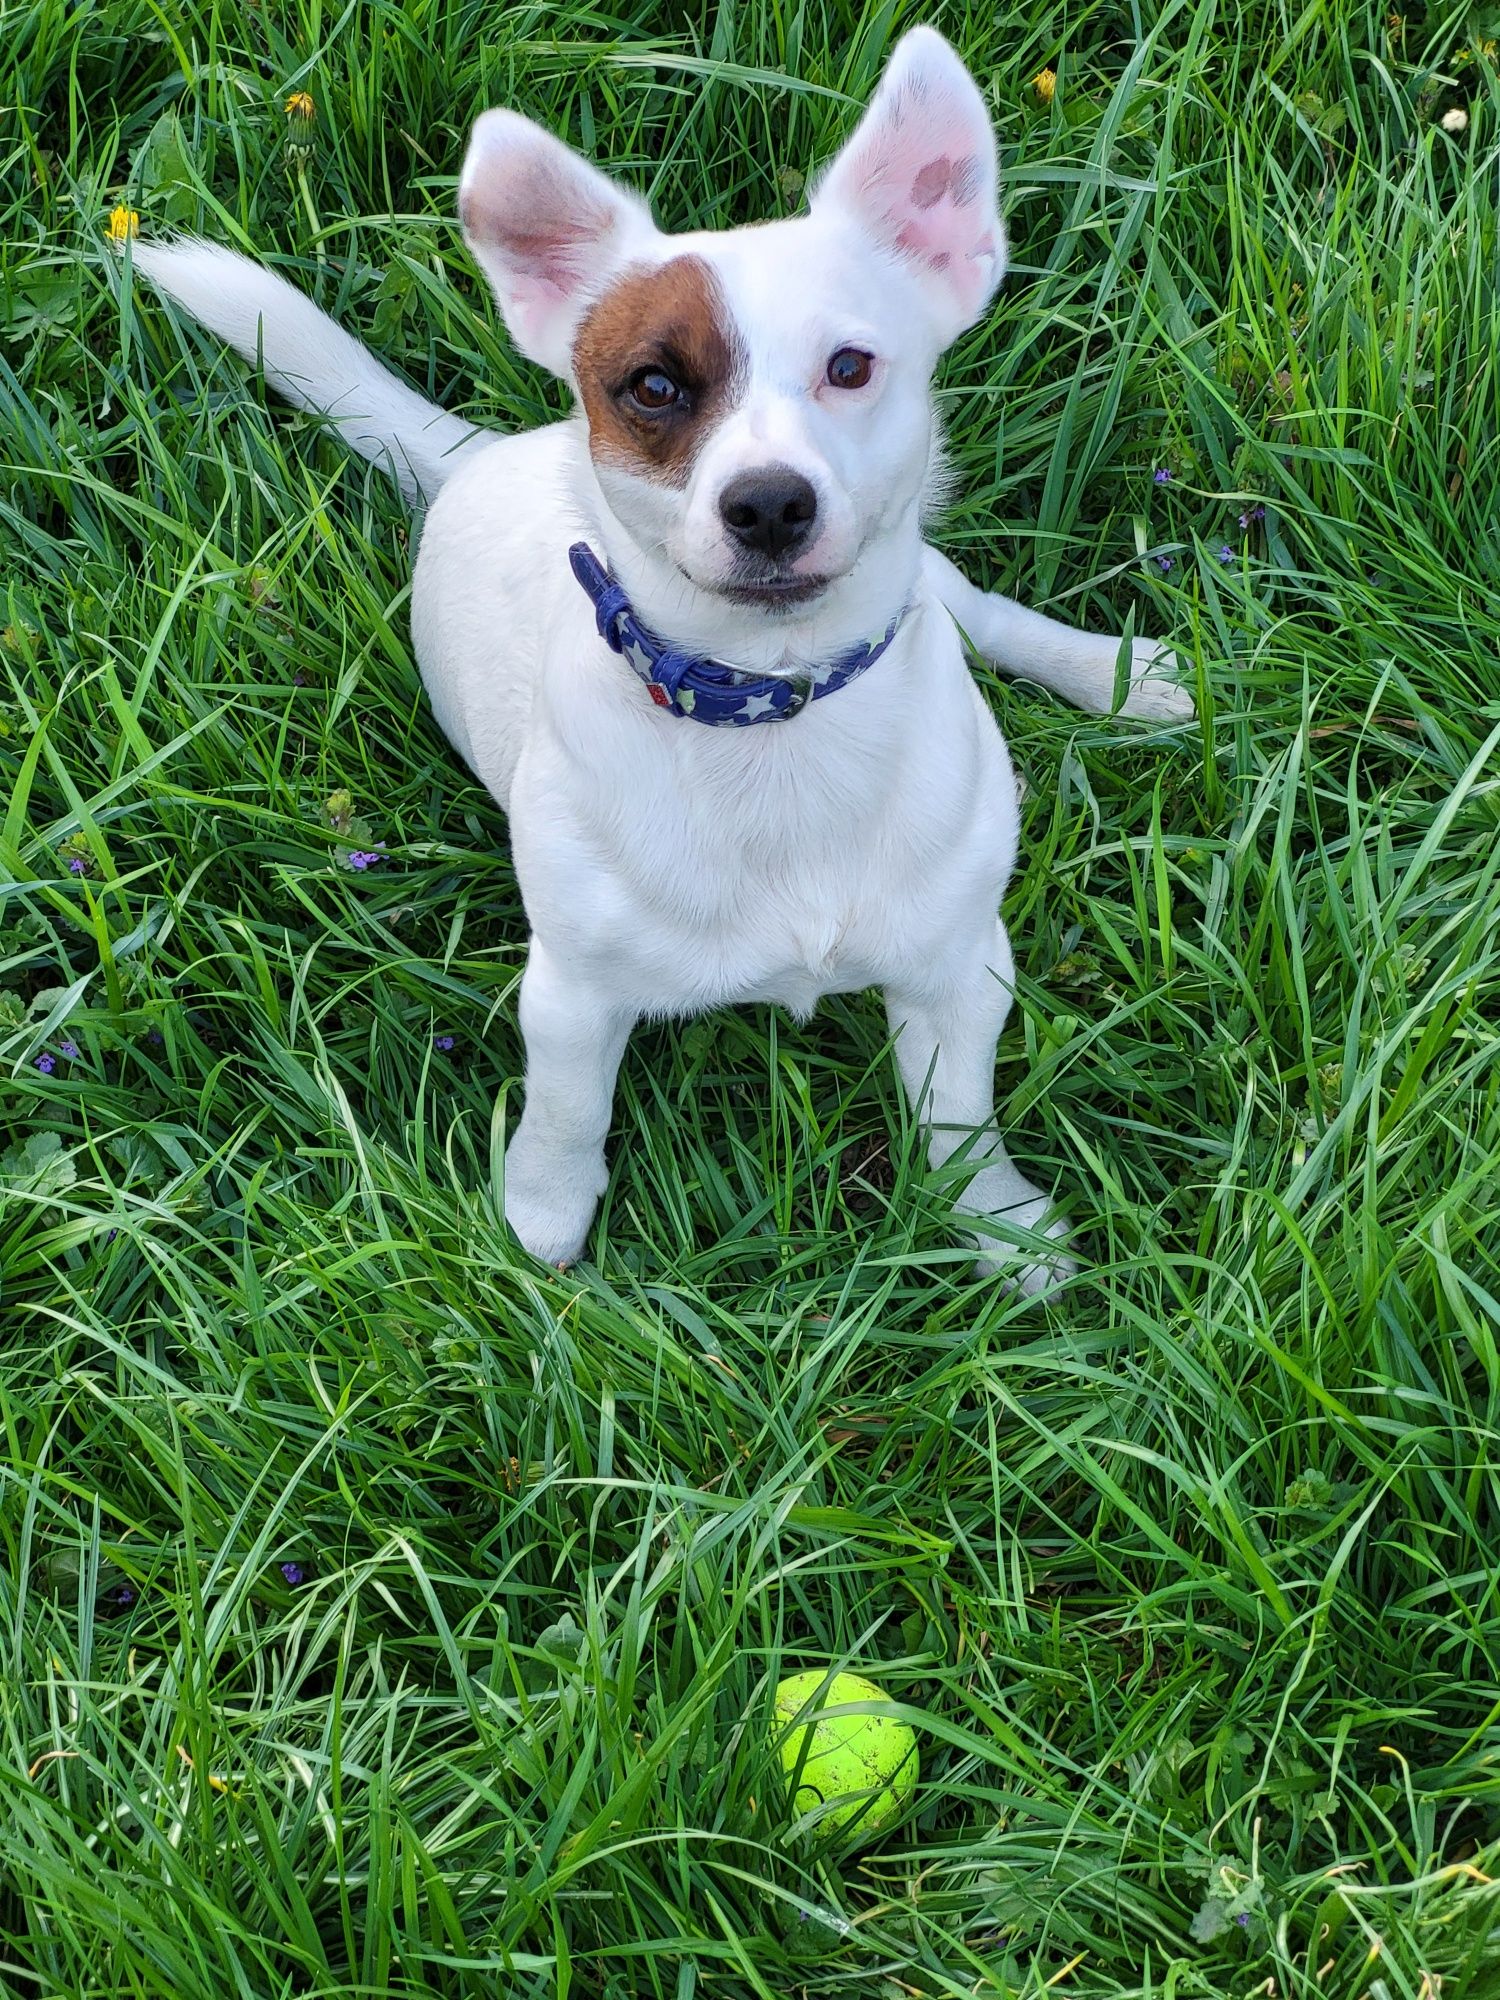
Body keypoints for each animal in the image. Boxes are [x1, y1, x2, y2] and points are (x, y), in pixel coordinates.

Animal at [132, 27, 1184, 1296]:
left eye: (850, 366)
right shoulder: (571, 998)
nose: (769, 501)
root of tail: (479, 451)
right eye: (652, 387)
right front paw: (541, 1224)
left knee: (980, 609)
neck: (774, 710)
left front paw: (996, 1222)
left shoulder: (958, 967)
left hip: (945, 593)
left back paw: (1115, 675)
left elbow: (956, 1114)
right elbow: (566, 1115)